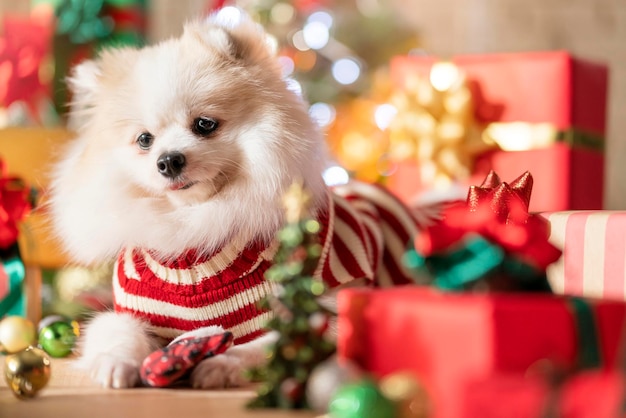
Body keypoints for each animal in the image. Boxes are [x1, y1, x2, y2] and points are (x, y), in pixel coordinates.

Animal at [51, 9, 426, 388]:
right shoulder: (136, 309)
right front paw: (115, 363)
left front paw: (222, 364)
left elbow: (264, 344)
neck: (196, 228)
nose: (168, 160)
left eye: (204, 124)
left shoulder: (320, 313)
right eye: (144, 140)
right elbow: (115, 329)